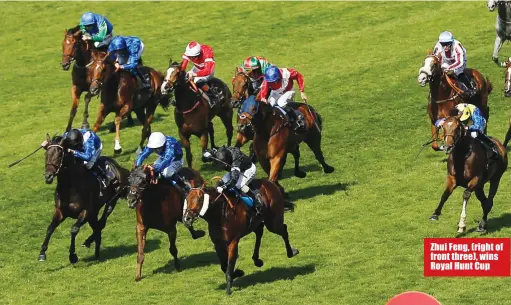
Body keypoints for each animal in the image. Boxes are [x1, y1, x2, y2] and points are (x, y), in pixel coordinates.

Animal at [41, 134, 130, 262]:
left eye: (59, 155)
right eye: (46, 154)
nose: (48, 176)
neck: (70, 187)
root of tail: (119, 168)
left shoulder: (86, 212)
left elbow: (74, 229)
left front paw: (72, 255)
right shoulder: (60, 211)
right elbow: (50, 228)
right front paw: (42, 253)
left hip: (111, 202)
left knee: (101, 224)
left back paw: (88, 241)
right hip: (94, 213)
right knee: (97, 227)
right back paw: (96, 251)